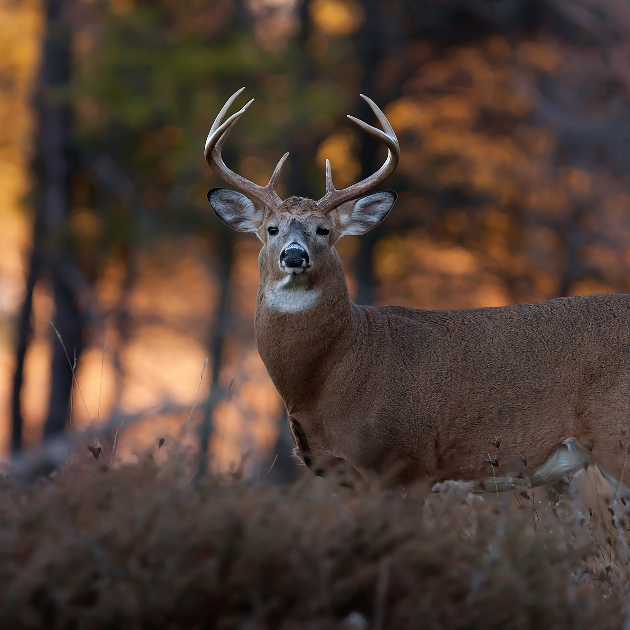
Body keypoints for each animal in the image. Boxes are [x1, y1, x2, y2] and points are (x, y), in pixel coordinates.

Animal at [202, 86, 630, 496]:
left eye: (323, 230)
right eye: (271, 229)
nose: (294, 255)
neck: (336, 369)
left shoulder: (403, 463)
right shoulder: (346, 476)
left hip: (615, 437)